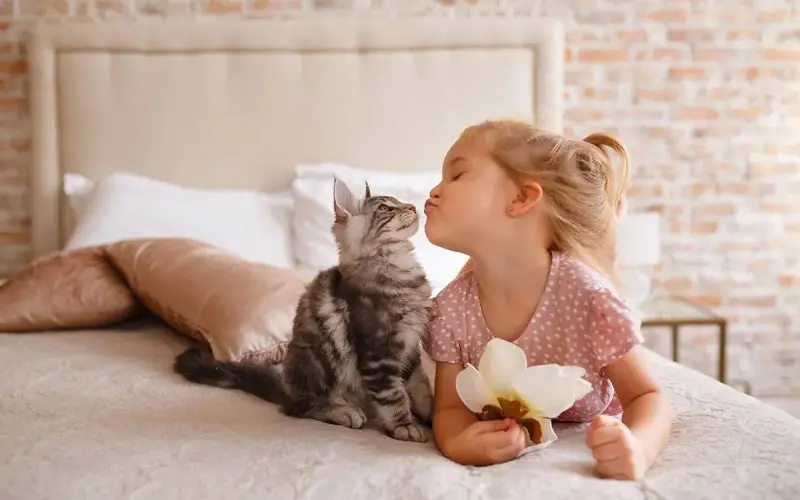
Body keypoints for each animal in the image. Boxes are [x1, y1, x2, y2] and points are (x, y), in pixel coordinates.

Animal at [175, 177, 434, 442]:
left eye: (398, 201)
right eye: (384, 208)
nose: (413, 207)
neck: (399, 268)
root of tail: (287, 387)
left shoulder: (410, 349)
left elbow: (419, 385)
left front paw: (429, 413)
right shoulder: (378, 353)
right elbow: (393, 396)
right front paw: (405, 425)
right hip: (318, 359)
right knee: (299, 407)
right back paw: (343, 411)